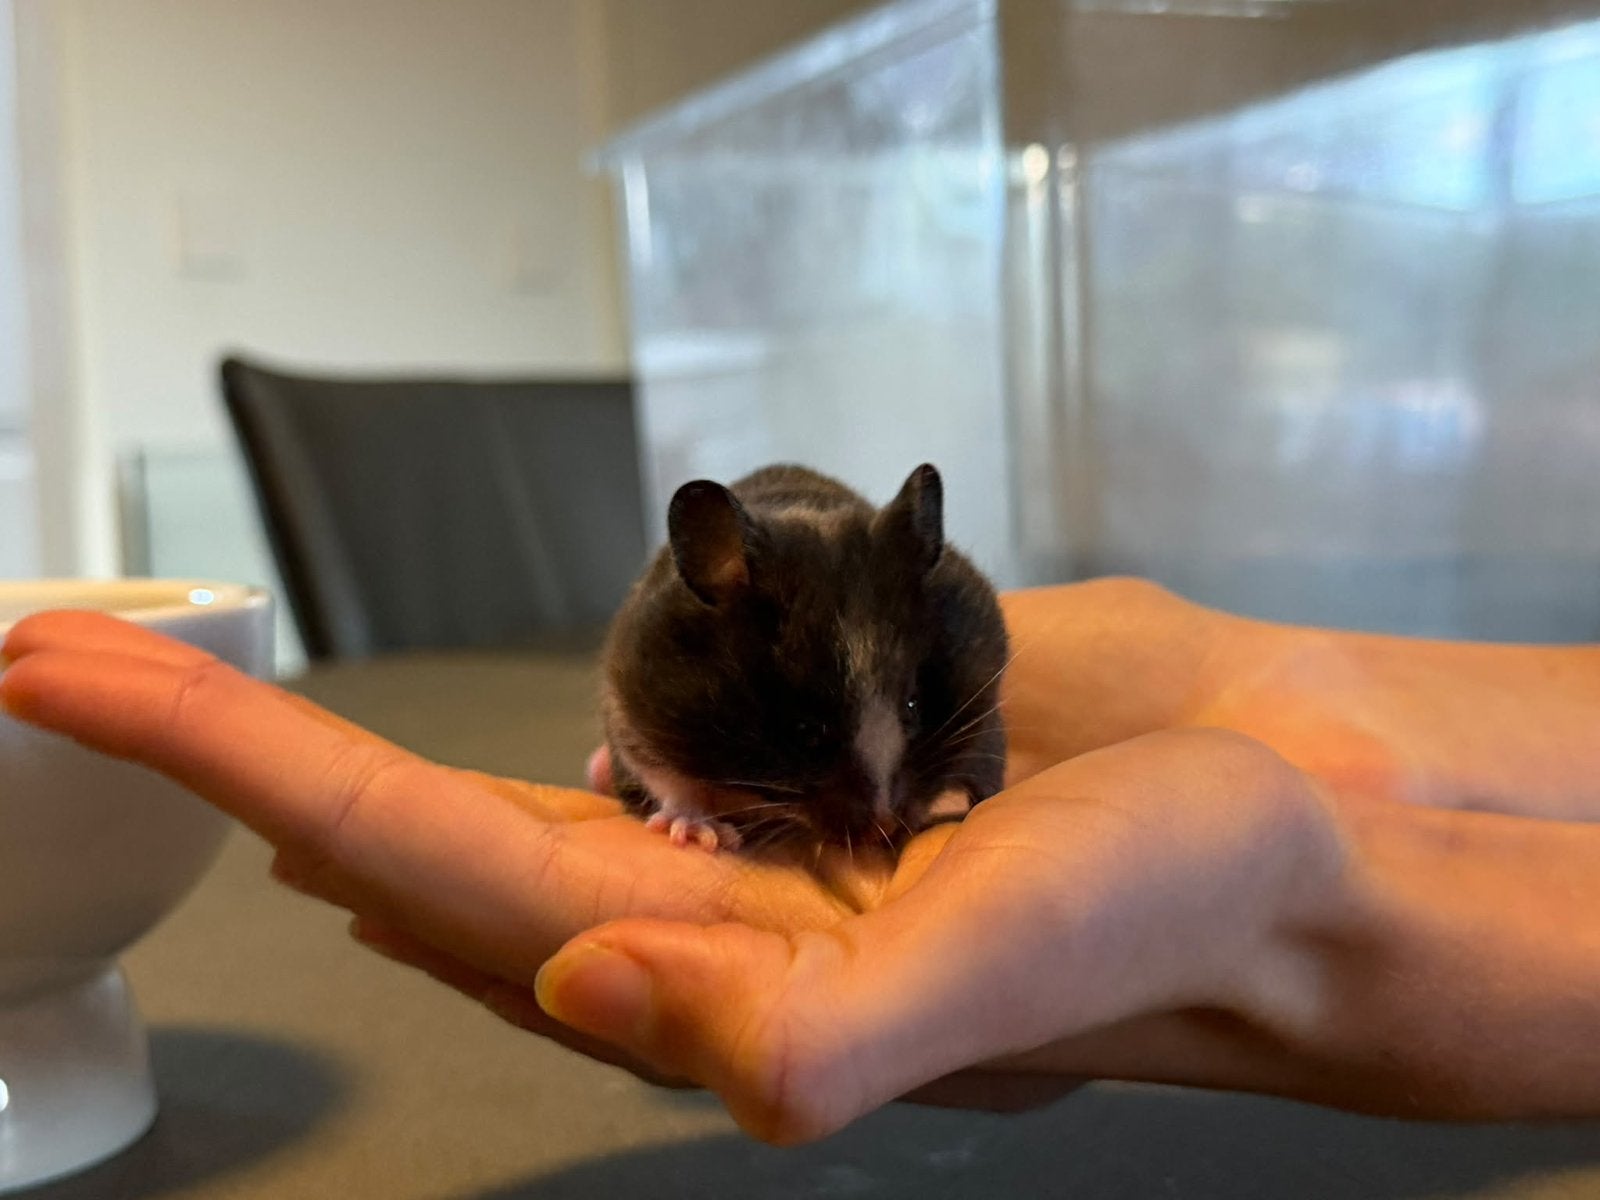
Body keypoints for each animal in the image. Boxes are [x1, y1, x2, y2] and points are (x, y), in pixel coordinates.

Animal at [601, 463, 1009, 853]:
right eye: (804, 731)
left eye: (913, 706)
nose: (883, 829)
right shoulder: (632, 718)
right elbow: (671, 785)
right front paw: (703, 837)